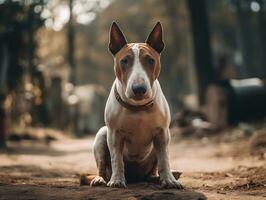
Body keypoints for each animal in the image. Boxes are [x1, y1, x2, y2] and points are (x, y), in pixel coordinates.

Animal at [91, 21, 183, 189]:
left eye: (150, 60)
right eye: (124, 61)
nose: (139, 89)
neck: (138, 108)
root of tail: (136, 177)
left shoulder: (162, 133)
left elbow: (164, 159)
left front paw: (169, 180)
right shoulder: (114, 134)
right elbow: (117, 159)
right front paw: (117, 180)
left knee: (154, 167)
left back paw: (158, 177)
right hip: (102, 135)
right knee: (102, 165)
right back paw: (100, 179)